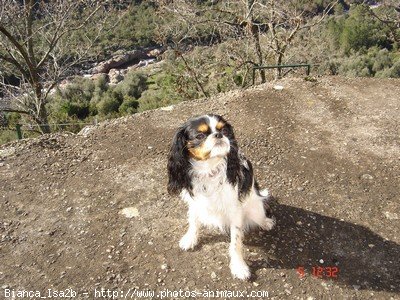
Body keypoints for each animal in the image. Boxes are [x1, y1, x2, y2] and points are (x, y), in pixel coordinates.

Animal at [166, 113, 276, 280]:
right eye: (200, 136)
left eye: (224, 130)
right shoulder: (195, 203)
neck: (208, 169)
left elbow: (235, 242)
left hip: (255, 208)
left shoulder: (235, 210)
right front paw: (190, 238)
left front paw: (239, 266)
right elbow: (193, 221)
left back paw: (266, 222)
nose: (218, 135)